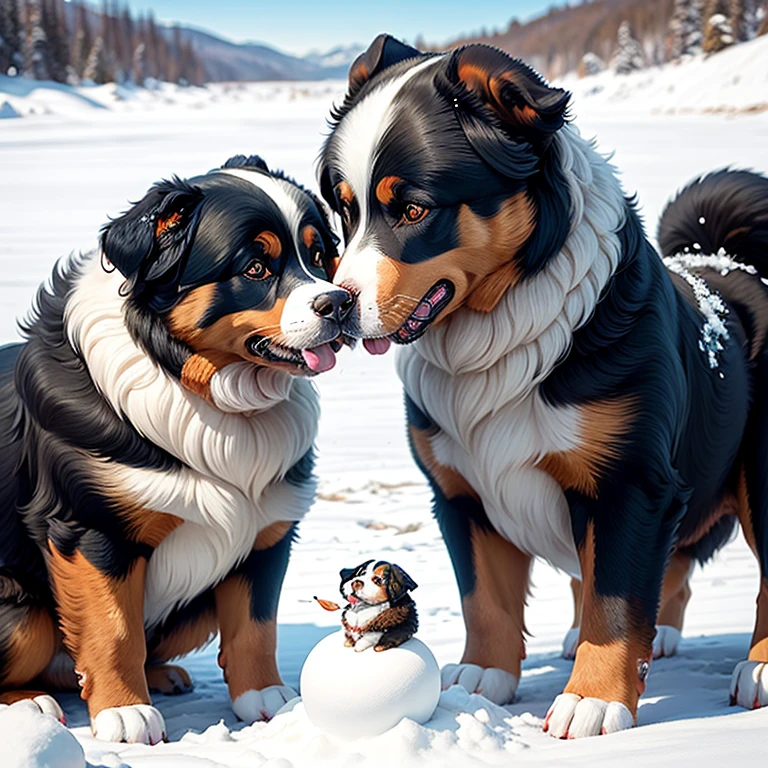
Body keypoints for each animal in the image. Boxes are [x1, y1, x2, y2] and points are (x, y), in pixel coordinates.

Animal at [0, 156, 352, 744]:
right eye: (255, 267)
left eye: (321, 256)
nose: (341, 302)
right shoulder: (91, 529)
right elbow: (113, 629)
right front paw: (125, 714)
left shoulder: (267, 530)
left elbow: (256, 626)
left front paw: (266, 701)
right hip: (22, 614)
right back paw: (32, 705)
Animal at [316, 36, 768, 736]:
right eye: (344, 208)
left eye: (414, 209)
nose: (335, 305)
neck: (497, 340)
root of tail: (729, 263)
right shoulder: (461, 490)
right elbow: (485, 598)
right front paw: (483, 678)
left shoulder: (630, 482)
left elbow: (615, 600)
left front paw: (593, 700)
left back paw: (759, 668)